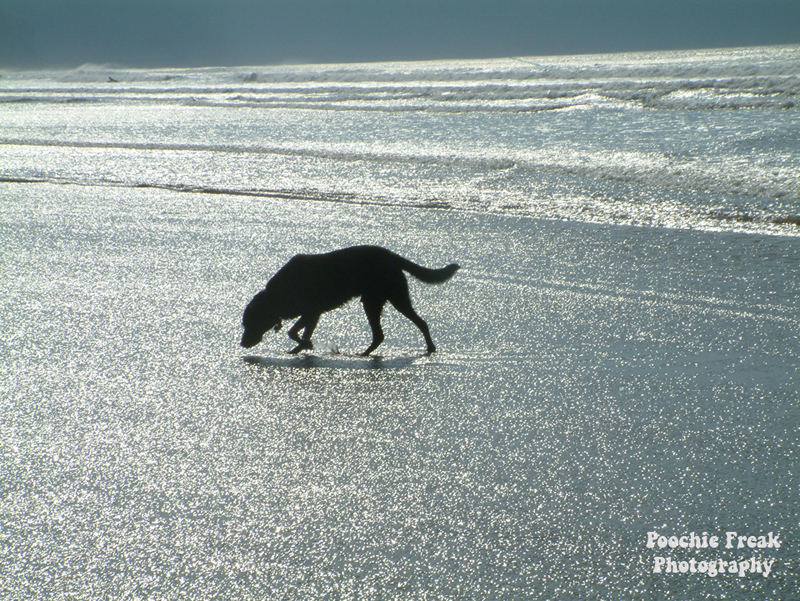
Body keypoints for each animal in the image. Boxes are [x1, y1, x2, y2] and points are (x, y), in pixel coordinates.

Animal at [241, 245, 460, 354]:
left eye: (249, 323)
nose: (242, 343)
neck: (276, 295)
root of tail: (392, 256)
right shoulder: (313, 314)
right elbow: (302, 333)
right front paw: (302, 347)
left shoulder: (311, 311)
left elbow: (293, 332)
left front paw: (304, 345)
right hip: (378, 300)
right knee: (382, 334)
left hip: (387, 300)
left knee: (415, 324)